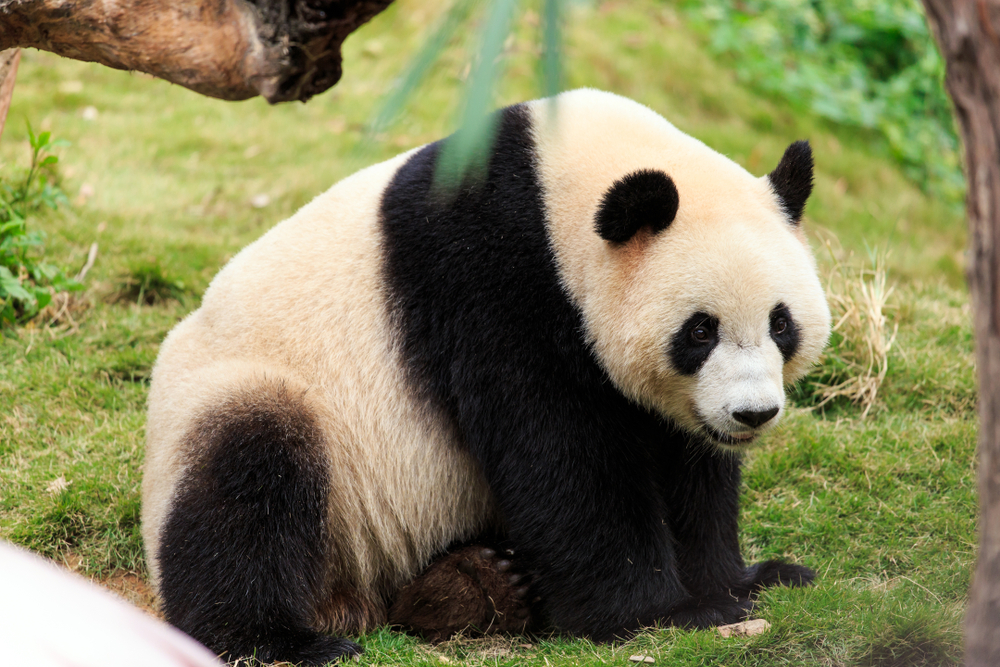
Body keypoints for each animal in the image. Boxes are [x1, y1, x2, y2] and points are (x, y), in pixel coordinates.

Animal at [141, 90, 828, 667]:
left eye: (781, 323)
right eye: (700, 331)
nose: (751, 414)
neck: (555, 189)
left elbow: (689, 466)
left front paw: (751, 580)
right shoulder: (490, 285)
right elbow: (559, 452)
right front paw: (666, 612)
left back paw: (482, 582)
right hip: (267, 413)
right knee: (250, 481)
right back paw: (284, 639)